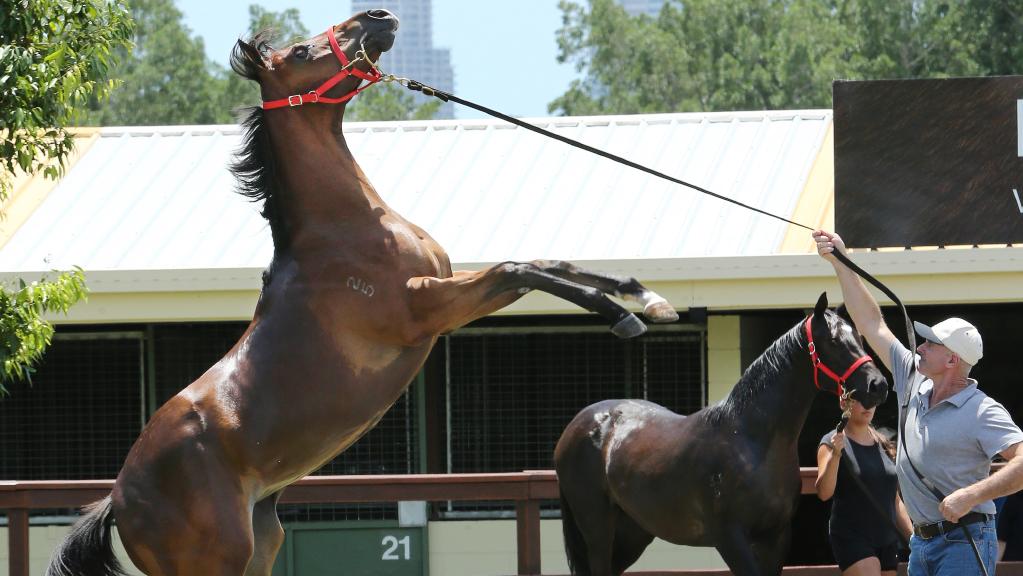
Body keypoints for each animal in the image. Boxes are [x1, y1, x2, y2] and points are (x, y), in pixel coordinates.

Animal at [46, 9, 679, 576]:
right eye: (302, 52)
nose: (378, 16)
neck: (343, 230)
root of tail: (119, 499)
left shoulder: (449, 296)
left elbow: (546, 262)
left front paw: (646, 297)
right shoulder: (426, 308)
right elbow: (520, 266)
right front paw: (623, 316)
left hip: (262, 542)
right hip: (216, 560)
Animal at [552, 294, 887, 576]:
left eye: (859, 337)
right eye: (833, 341)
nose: (878, 386)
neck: (750, 441)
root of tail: (579, 424)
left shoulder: (775, 537)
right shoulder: (730, 538)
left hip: (633, 531)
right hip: (597, 528)